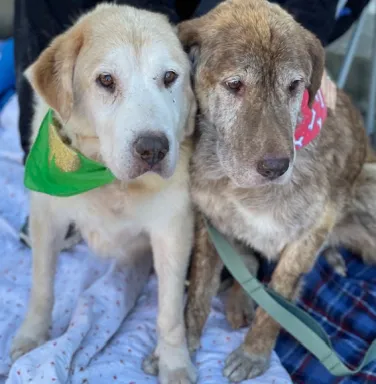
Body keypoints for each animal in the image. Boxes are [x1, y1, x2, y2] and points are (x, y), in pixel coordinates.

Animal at [10, 3, 197, 384]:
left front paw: (174, 362)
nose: (153, 149)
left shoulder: (173, 230)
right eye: (106, 80)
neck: (107, 178)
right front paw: (33, 336)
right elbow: (42, 287)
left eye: (169, 77)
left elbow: (170, 312)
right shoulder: (46, 217)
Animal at [178, 0, 376, 380]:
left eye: (295, 85)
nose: (276, 168)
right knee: (248, 262)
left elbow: (274, 306)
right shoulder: (210, 224)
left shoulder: (306, 238)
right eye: (234, 84)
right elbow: (198, 292)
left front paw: (253, 355)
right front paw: (180, 345)